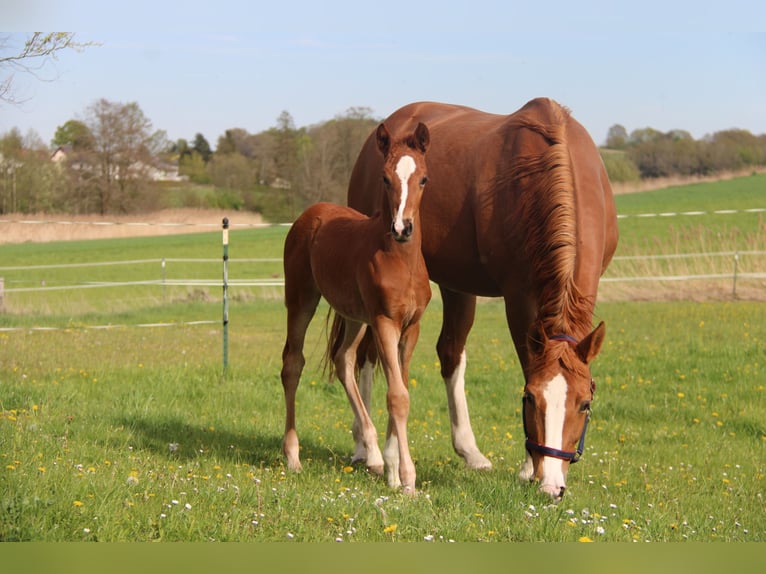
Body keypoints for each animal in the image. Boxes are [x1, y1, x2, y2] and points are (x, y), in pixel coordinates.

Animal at [280, 121, 432, 493]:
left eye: (423, 179)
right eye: (385, 178)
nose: (402, 228)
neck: (401, 261)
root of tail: (311, 213)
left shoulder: (411, 327)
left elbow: (401, 389)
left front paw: (391, 469)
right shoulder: (385, 322)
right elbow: (397, 396)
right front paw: (407, 479)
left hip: (354, 317)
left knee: (343, 360)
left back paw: (374, 456)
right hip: (302, 299)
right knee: (293, 364)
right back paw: (293, 456)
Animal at [345, 98, 618, 499]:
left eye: (585, 404)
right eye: (530, 398)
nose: (552, 486)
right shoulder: (518, 297)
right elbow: (527, 364)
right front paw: (529, 468)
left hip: (457, 284)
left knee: (450, 352)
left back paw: (469, 452)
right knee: (367, 357)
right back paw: (369, 449)